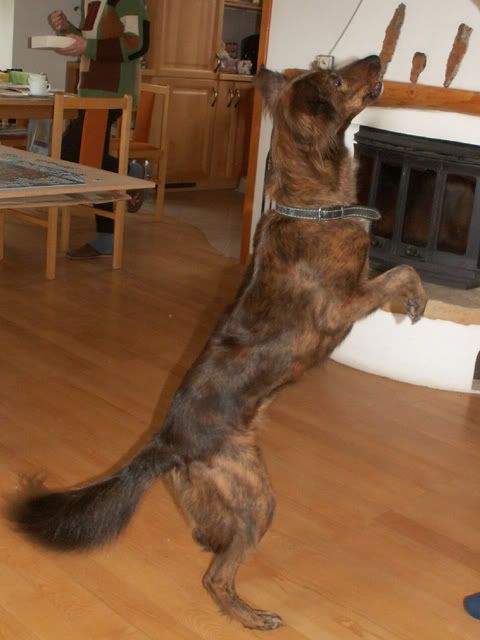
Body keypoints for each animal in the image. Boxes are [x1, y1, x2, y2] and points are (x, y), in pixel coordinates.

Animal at [10, 55, 427, 631]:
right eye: (338, 79)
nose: (377, 58)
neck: (312, 204)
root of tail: (167, 443)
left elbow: (398, 271)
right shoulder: (343, 306)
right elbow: (403, 272)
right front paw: (417, 300)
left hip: (209, 492)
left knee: (205, 534)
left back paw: (219, 555)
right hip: (256, 497)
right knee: (217, 576)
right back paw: (250, 617)